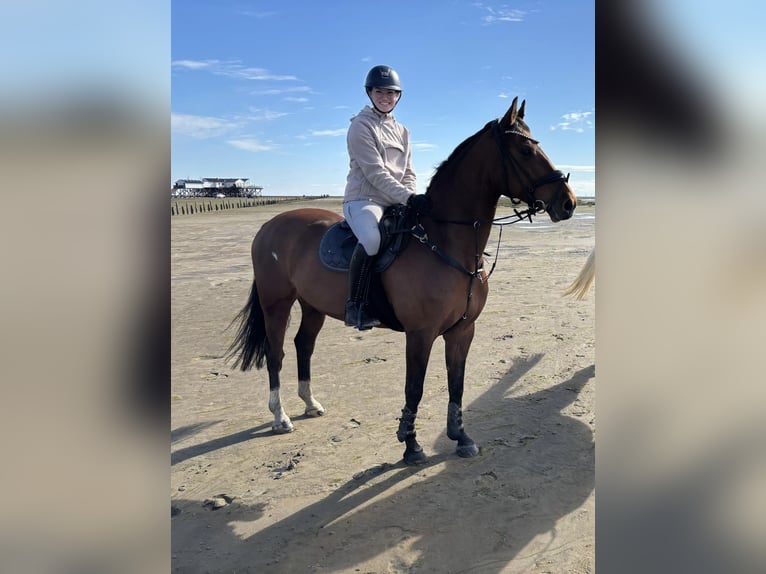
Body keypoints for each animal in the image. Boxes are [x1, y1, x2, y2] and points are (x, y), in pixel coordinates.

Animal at [226, 97, 577, 465]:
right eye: (524, 150)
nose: (568, 203)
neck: (445, 240)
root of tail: (270, 225)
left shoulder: (463, 331)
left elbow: (457, 383)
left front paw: (460, 437)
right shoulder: (420, 334)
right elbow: (415, 388)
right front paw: (411, 445)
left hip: (312, 305)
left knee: (303, 345)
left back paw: (310, 404)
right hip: (276, 303)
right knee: (275, 352)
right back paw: (280, 417)